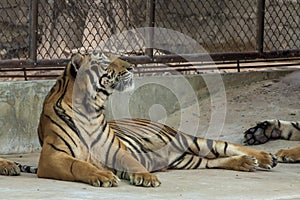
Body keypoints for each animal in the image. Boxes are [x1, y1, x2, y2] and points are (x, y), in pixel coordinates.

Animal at [36, 51, 278, 188]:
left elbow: (132, 162)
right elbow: (78, 165)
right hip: (188, 160)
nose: (131, 67)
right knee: (212, 161)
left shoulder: (116, 151)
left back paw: (264, 157)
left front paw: (146, 177)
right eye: (105, 62)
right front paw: (103, 175)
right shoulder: (52, 157)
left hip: (189, 140)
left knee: (226, 146)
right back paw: (246, 163)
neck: (91, 109)